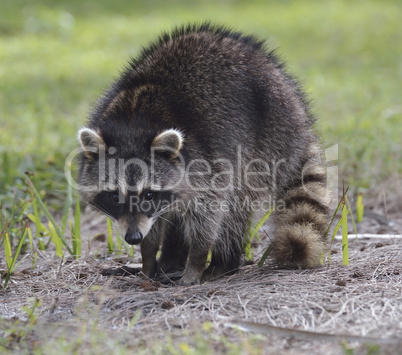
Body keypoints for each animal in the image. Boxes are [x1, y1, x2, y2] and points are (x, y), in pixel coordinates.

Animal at [77, 23, 332, 286]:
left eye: (148, 194)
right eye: (114, 196)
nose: (133, 237)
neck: (132, 122)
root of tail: (298, 112)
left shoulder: (207, 161)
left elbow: (209, 212)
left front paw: (195, 262)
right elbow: (158, 219)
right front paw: (148, 260)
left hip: (264, 141)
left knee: (235, 205)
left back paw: (222, 263)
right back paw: (171, 260)